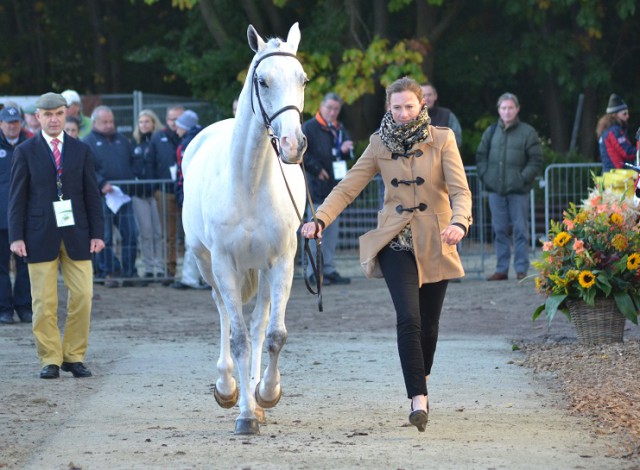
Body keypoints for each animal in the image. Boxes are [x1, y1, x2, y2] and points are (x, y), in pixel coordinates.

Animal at [181, 22, 308, 434]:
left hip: (263, 271)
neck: (250, 183)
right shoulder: (222, 262)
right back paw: (229, 389)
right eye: (263, 81)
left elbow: (273, 334)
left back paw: (255, 394)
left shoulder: (283, 261)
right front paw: (245, 414)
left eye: (302, 79)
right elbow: (236, 337)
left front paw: (266, 395)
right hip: (207, 263)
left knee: (259, 324)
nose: (294, 144)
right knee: (224, 312)